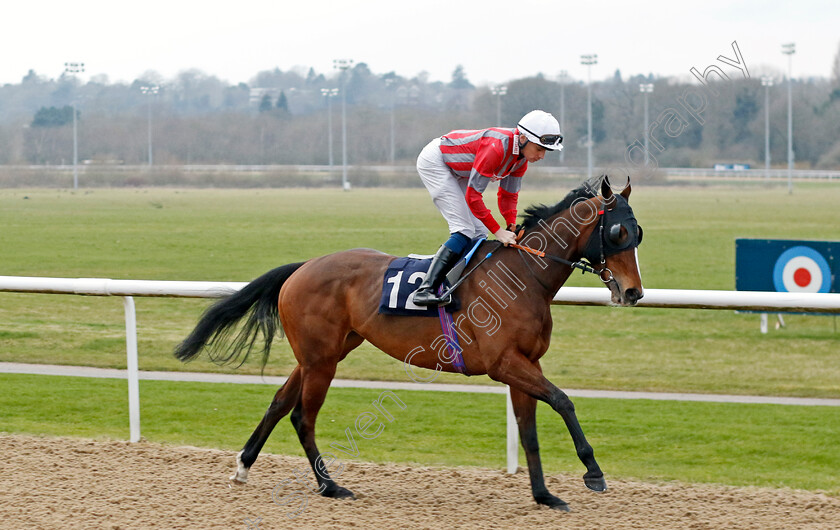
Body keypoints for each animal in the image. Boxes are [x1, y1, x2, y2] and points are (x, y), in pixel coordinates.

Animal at [172, 176, 644, 508]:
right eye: (618, 233)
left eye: (639, 233)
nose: (633, 292)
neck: (523, 277)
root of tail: (303, 266)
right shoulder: (504, 364)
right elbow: (564, 401)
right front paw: (593, 472)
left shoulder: (525, 363)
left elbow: (529, 432)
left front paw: (544, 495)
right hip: (322, 360)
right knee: (302, 417)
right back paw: (330, 486)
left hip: (322, 353)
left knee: (278, 403)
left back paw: (243, 466)